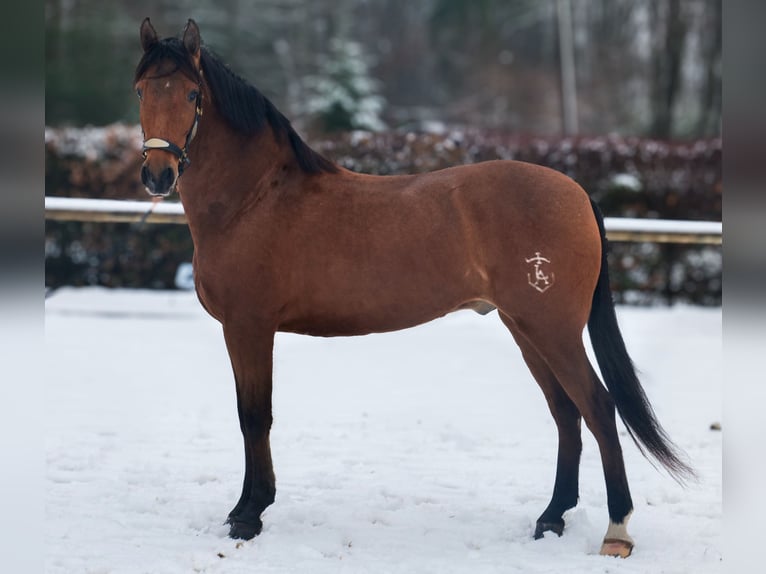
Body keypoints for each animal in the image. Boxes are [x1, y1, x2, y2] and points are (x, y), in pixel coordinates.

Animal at [134, 18, 692, 558]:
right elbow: (250, 415)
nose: (158, 174)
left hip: (552, 330)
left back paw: (617, 530)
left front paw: (248, 516)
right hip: (526, 328)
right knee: (566, 413)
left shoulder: (249, 327)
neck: (255, 198)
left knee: (597, 408)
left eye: (191, 93)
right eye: (141, 89)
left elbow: (254, 416)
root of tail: (576, 191)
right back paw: (551, 518)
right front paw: (246, 509)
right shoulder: (246, 330)